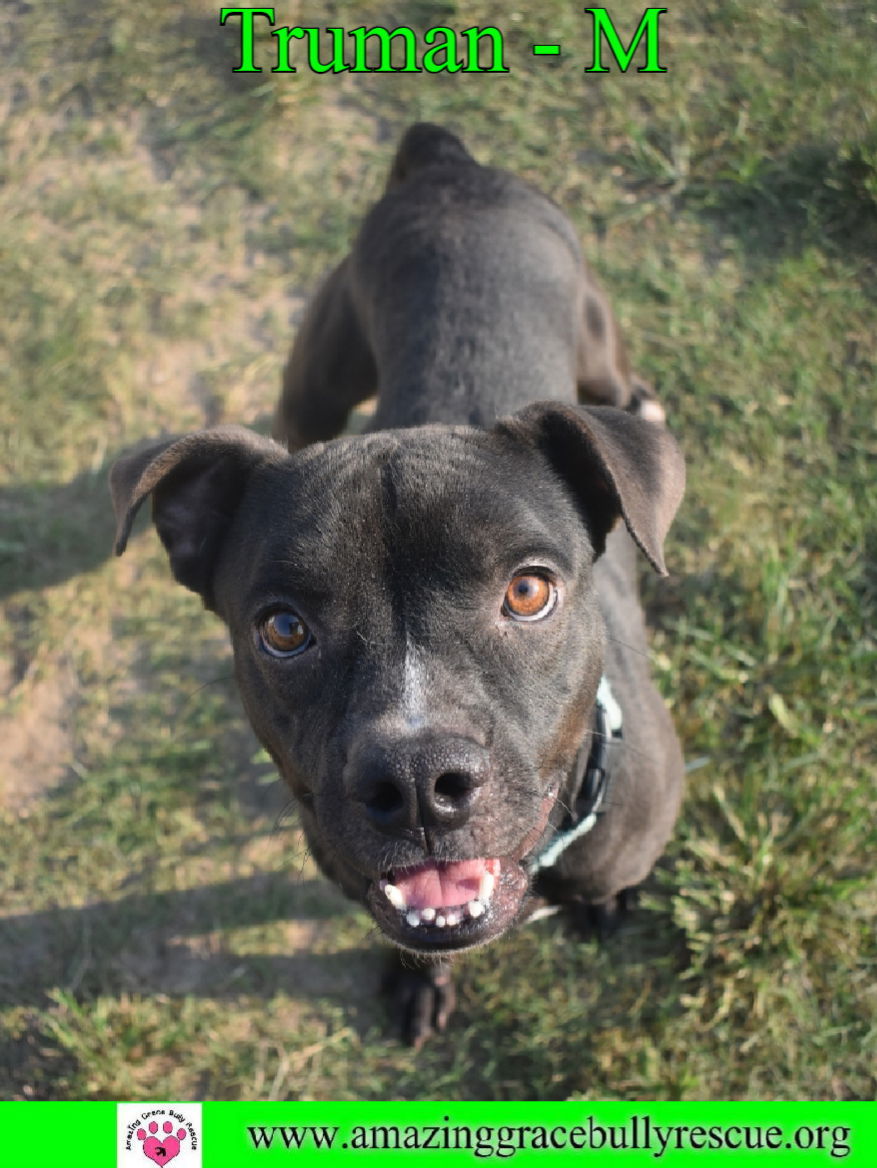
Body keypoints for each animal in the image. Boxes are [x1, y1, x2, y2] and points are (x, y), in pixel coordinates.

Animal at [109, 123, 686, 1046]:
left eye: (528, 593)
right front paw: (420, 982)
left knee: (617, 380)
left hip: (591, 336)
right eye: (282, 629)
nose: (417, 782)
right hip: (315, 380)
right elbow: (413, 938)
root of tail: (446, 164)